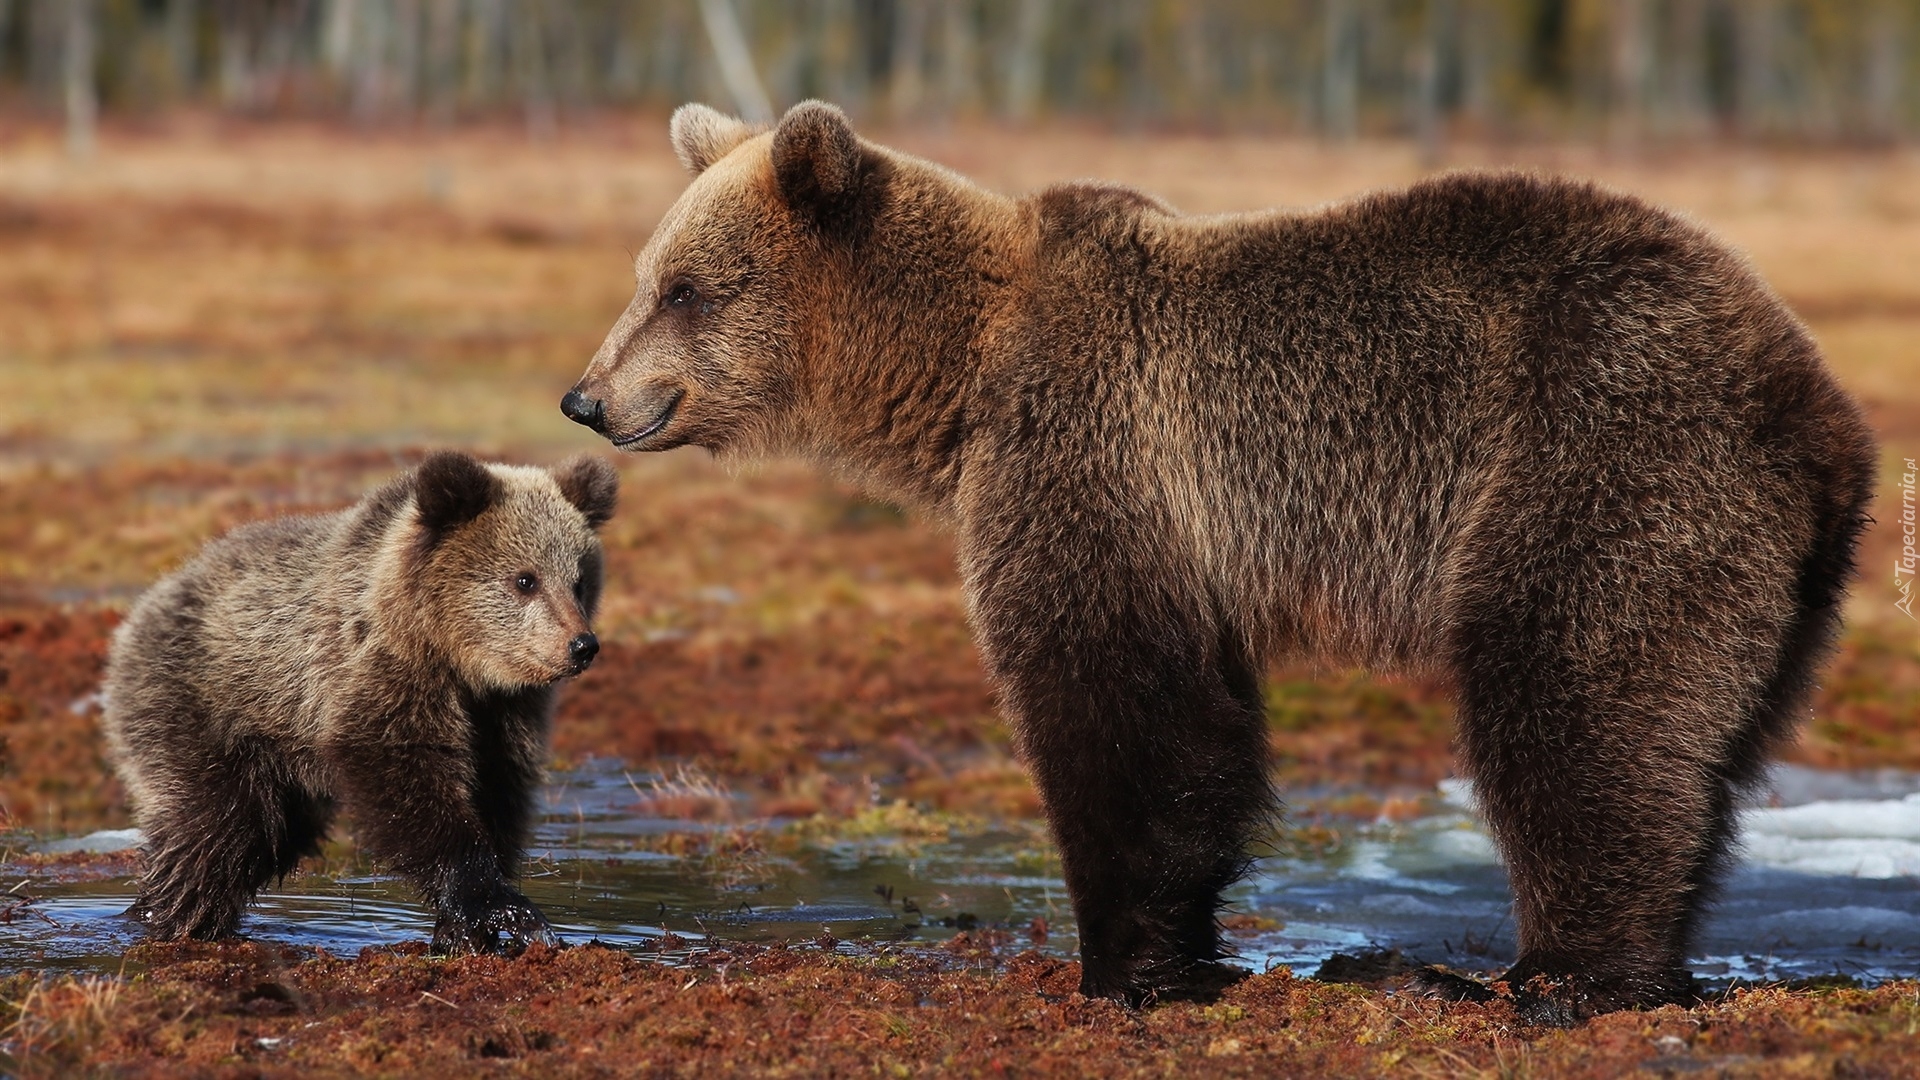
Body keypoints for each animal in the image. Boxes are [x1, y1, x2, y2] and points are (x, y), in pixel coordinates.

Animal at [101, 449, 618, 953]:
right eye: (525, 579)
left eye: (579, 580)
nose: (581, 645)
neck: (453, 657)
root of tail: (147, 602)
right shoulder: (380, 675)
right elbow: (405, 779)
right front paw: (502, 909)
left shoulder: (503, 713)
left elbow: (497, 790)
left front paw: (463, 930)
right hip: (205, 705)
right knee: (216, 829)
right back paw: (169, 915)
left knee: (266, 835)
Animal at [560, 105, 1881, 1022]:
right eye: (644, 278)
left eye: (686, 288)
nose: (585, 397)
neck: (954, 376)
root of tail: (1822, 410)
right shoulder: (1177, 530)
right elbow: (1196, 723)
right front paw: (1187, 945)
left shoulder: (1090, 451)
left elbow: (1117, 703)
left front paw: (1125, 960)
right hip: (1770, 578)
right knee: (1693, 746)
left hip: (1605, 454)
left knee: (1572, 697)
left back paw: (1544, 974)